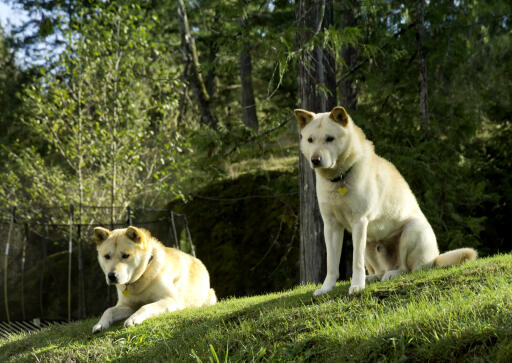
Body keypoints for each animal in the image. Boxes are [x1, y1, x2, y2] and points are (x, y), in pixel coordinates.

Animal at [294, 106, 478, 298]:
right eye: (310, 140)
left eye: (330, 138)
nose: (315, 160)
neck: (340, 178)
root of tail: (435, 258)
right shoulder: (331, 226)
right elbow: (331, 264)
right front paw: (326, 288)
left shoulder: (359, 222)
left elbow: (355, 262)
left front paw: (357, 286)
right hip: (368, 244)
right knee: (379, 270)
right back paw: (373, 278)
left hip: (411, 231)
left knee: (408, 268)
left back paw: (392, 274)